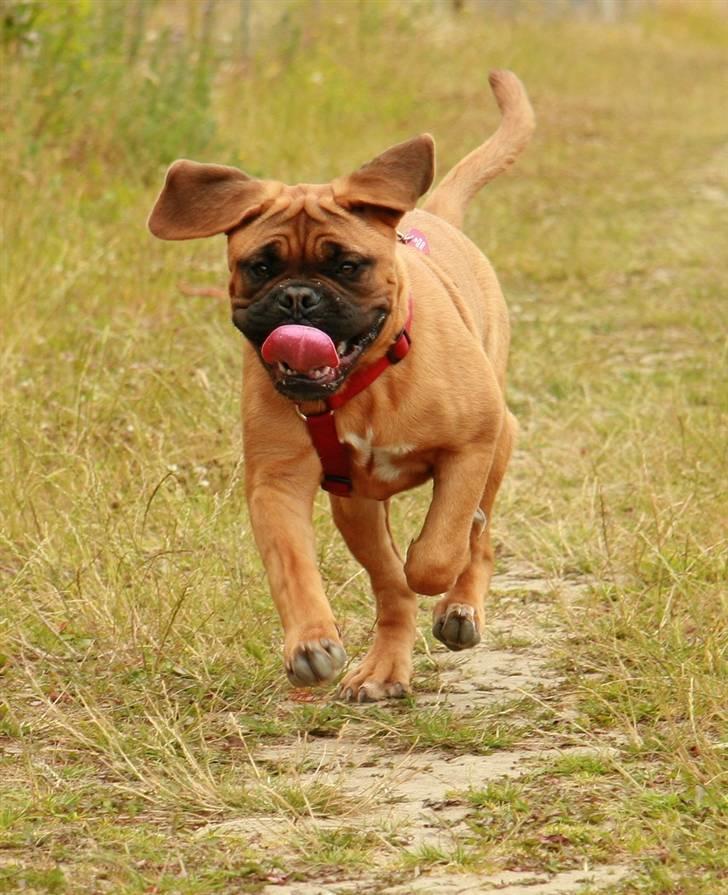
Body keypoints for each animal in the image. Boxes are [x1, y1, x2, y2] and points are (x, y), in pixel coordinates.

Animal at [149, 70, 536, 704]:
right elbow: (294, 567)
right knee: (390, 589)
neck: (366, 386)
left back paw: (459, 607)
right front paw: (309, 643)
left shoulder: (472, 445)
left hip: (500, 440)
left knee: (475, 538)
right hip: (354, 508)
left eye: (347, 266)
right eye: (260, 266)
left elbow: (438, 551)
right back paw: (384, 668)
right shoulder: (277, 484)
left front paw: (435, 565)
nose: (298, 298)